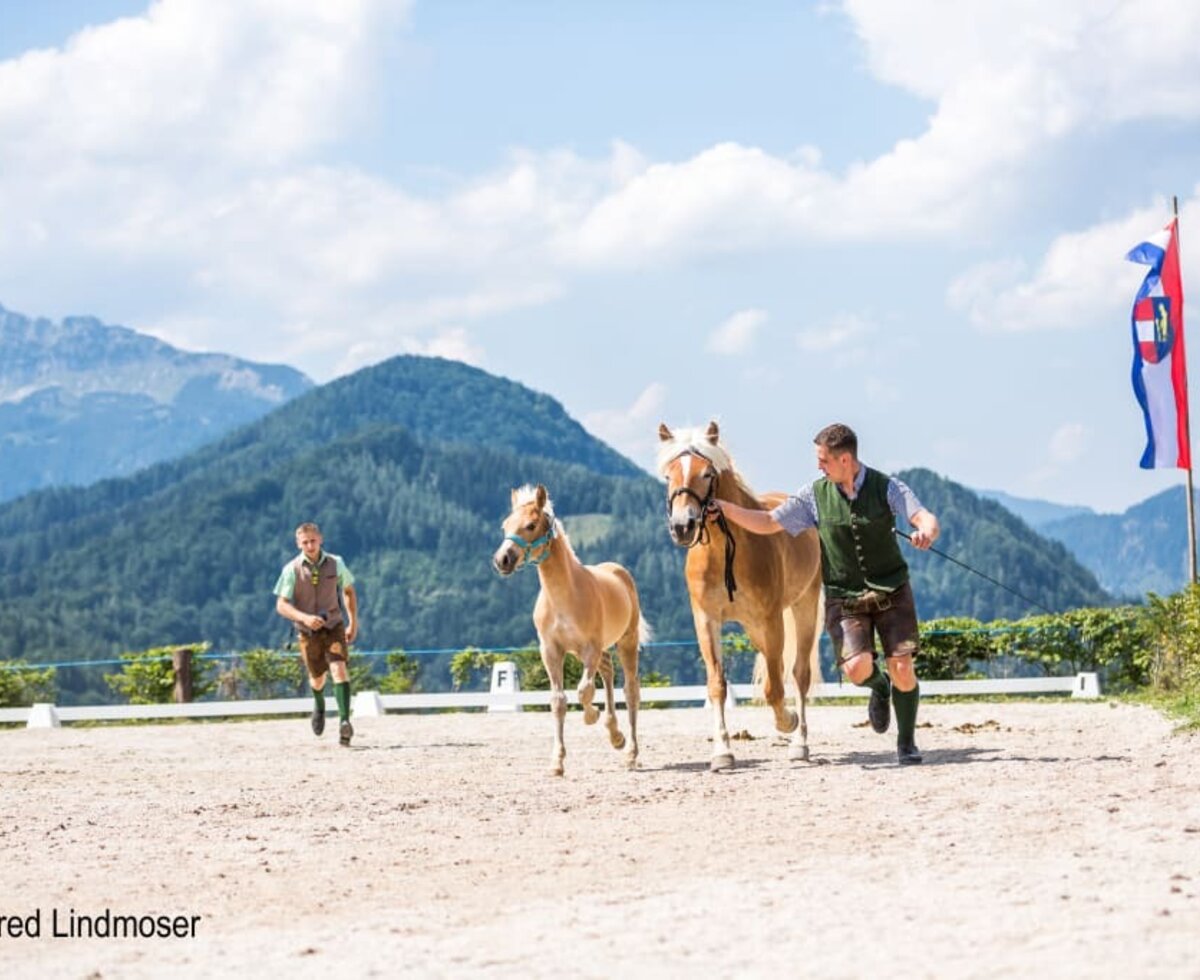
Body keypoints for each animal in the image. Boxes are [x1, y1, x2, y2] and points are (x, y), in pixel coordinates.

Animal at [492, 482, 648, 772]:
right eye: (505, 525)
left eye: (531, 525)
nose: (502, 560)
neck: (565, 596)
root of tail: (619, 572)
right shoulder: (551, 651)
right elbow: (559, 701)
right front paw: (557, 761)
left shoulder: (590, 649)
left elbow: (584, 690)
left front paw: (591, 716)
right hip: (592, 651)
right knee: (607, 671)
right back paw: (615, 734)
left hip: (626, 642)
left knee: (631, 690)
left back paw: (630, 751)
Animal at [657, 424, 825, 767]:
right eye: (668, 476)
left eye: (707, 473)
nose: (682, 526)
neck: (724, 551)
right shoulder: (706, 620)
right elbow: (717, 685)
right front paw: (722, 752)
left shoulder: (771, 619)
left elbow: (775, 688)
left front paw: (787, 721)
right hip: (754, 628)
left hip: (802, 607)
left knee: (799, 674)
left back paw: (799, 742)